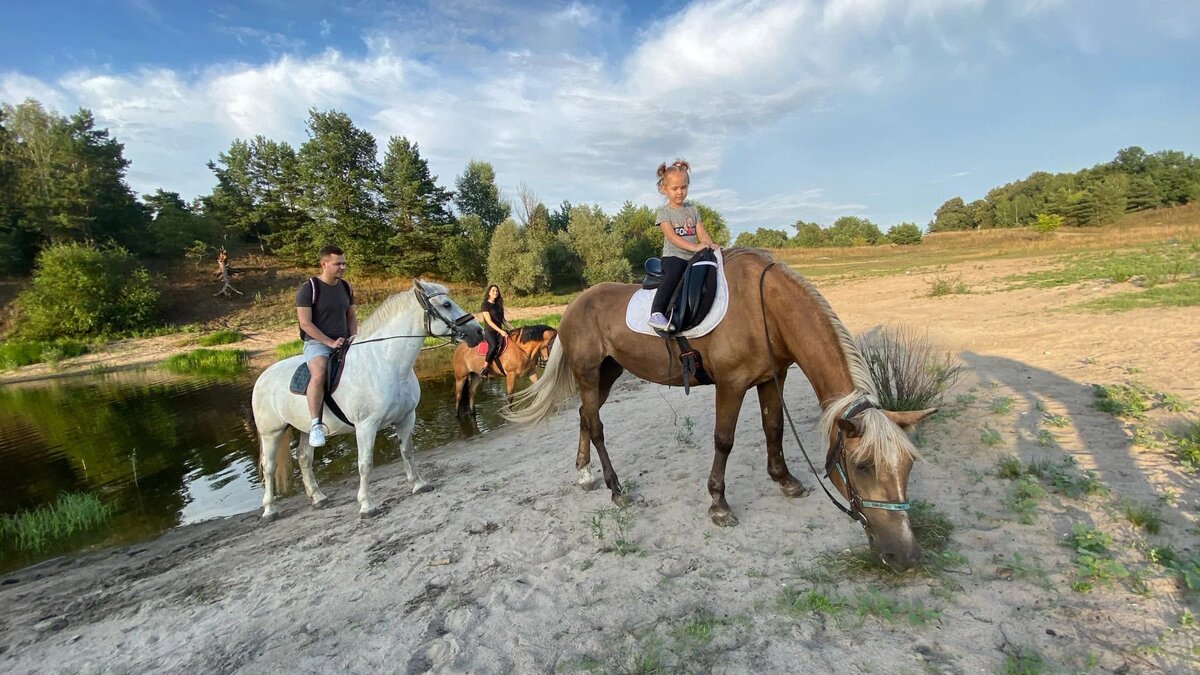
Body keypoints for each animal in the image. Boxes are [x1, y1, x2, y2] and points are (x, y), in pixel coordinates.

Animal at [252, 276, 482, 516]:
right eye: (446, 304)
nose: (478, 332)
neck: (385, 362)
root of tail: (262, 377)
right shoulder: (366, 426)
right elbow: (365, 464)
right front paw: (366, 505)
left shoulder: (406, 417)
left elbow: (407, 451)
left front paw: (418, 484)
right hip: (271, 433)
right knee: (269, 468)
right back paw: (269, 510)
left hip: (305, 428)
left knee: (305, 459)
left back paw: (319, 498)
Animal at [506, 249, 936, 569]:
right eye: (863, 467)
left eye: (908, 467)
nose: (906, 555)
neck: (765, 310)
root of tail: (571, 307)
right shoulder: (731, 384)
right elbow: (724, 440)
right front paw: (718, 505)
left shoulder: (771, 378)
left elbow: (774, 429)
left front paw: (785, 480)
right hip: (589, 373)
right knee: (596, 427)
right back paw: (616, 489)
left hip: (607, 374)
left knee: (584, 417)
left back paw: (584, 475)